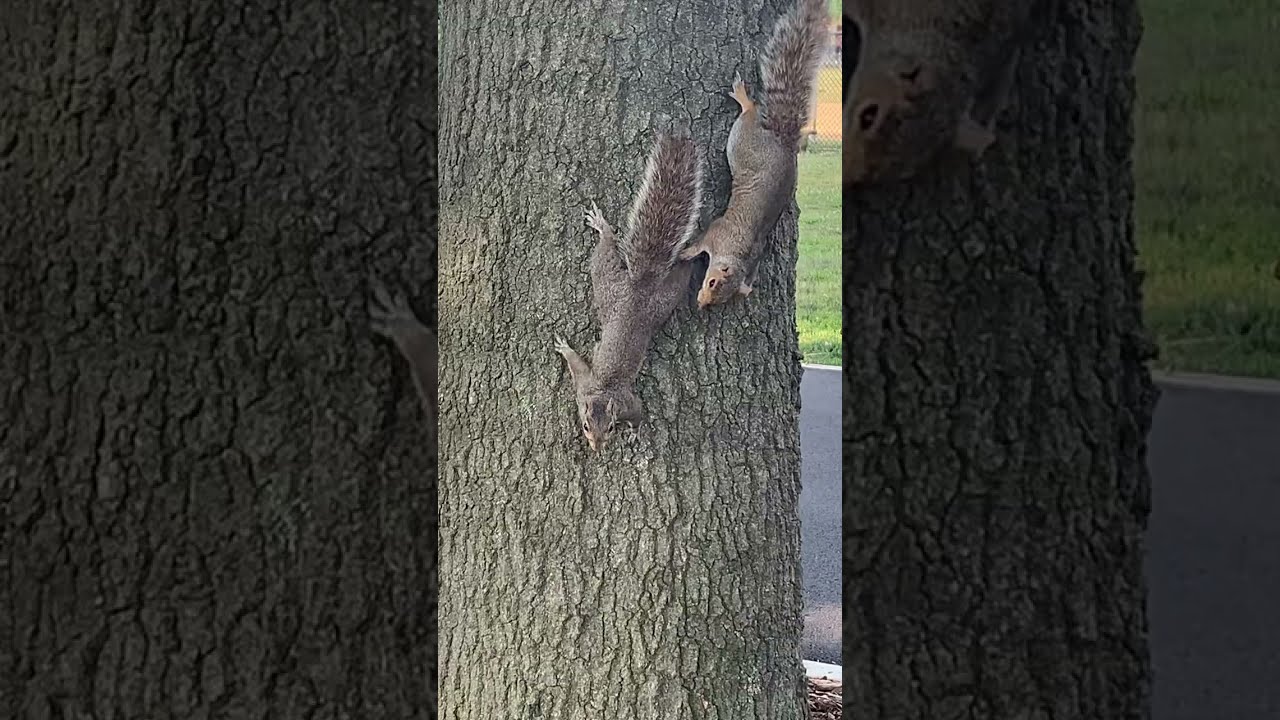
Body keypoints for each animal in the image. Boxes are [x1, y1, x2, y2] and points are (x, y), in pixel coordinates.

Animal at [555, 133, 704, 452]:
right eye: (585, 426)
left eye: (611, 428)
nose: (597, 448)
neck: (603, 392)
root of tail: (639, 288)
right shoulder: (583, 387)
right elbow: (577, 365)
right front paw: (565, 348)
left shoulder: (622, 401)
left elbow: (638, 412)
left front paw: (635, 431)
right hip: (615, 286)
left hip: (637, 294)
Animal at [677, 0, 830, 309]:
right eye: (711, 282)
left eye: (718, 293)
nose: (701, 304)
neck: (737, 255)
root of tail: (781, 139)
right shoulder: (717, 232)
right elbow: (700, 242)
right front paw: (685, 253)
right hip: (742, 138)